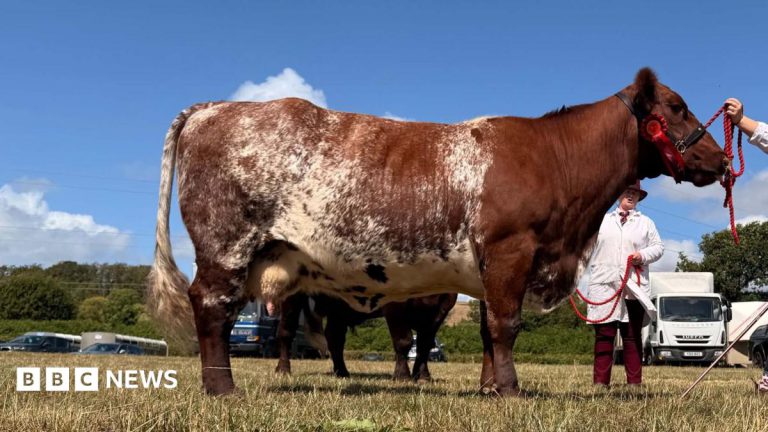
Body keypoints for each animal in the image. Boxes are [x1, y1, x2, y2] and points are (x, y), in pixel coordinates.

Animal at [274, 293, 457, 382]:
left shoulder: (440, 310)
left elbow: (425, 346)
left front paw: (423, 376)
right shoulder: (395, 303)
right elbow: (404, 341)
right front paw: (402, 375)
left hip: (338, 308)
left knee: (335, 339)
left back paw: (342, 372)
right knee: (285, 332)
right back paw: (283, 369)